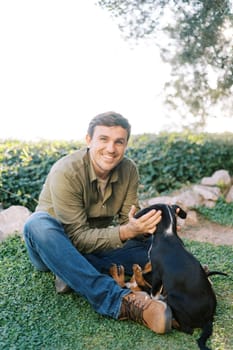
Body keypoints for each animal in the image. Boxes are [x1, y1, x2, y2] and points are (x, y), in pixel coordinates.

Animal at [134, 204, 218, 348]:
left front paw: (154, 299)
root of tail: (208, 319)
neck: (167, 233)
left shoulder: (157, 272)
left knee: (188, 330)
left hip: (174, 299)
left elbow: (154, 292)